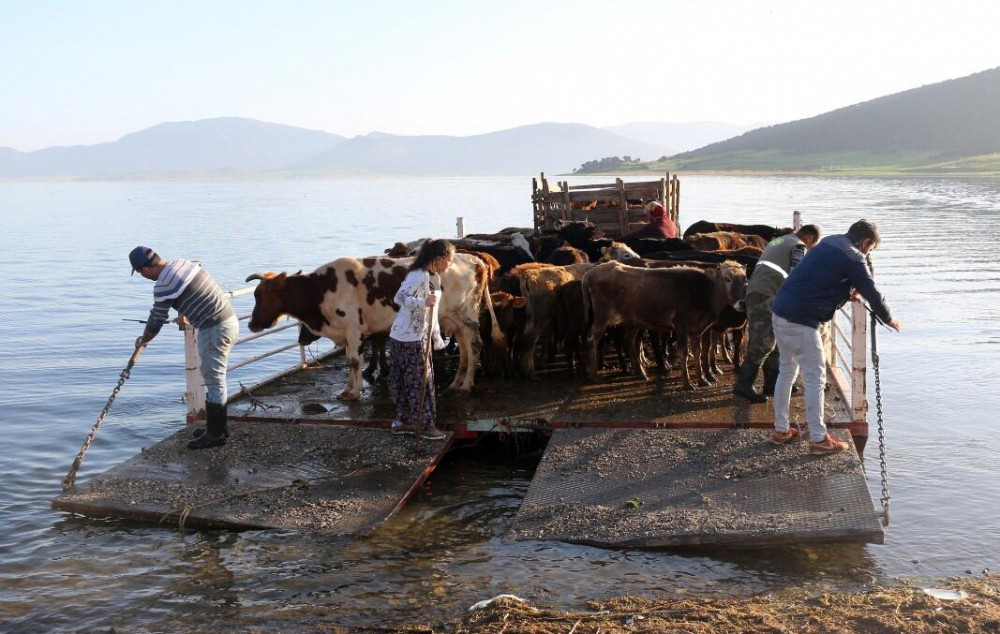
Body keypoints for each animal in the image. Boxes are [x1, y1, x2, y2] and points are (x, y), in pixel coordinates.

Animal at [247, 252, 504, 400]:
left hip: (466, 316)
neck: (322, 290)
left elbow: (353, 361)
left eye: (259, 295)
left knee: (475, 345)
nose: (251, 323)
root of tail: (475, 259)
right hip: (455, 320)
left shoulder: (353, 328)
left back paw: (467, 385)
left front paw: (354, 392)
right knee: (465, 350)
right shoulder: (346, 332)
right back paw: (456, 383)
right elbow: (350, 361)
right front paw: (347, 389)